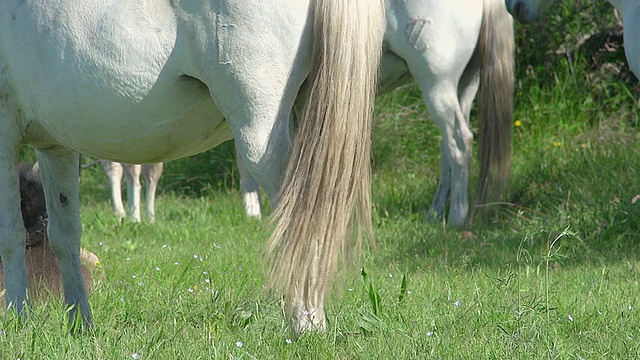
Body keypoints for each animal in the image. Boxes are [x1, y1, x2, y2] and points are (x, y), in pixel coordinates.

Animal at [0, 0, 384, 334]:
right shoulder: (55, 147)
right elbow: (64, 237)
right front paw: (80, 323)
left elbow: (11, 234)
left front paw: (19, 322)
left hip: (261, 135)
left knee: (302, 214)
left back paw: (305, 323)